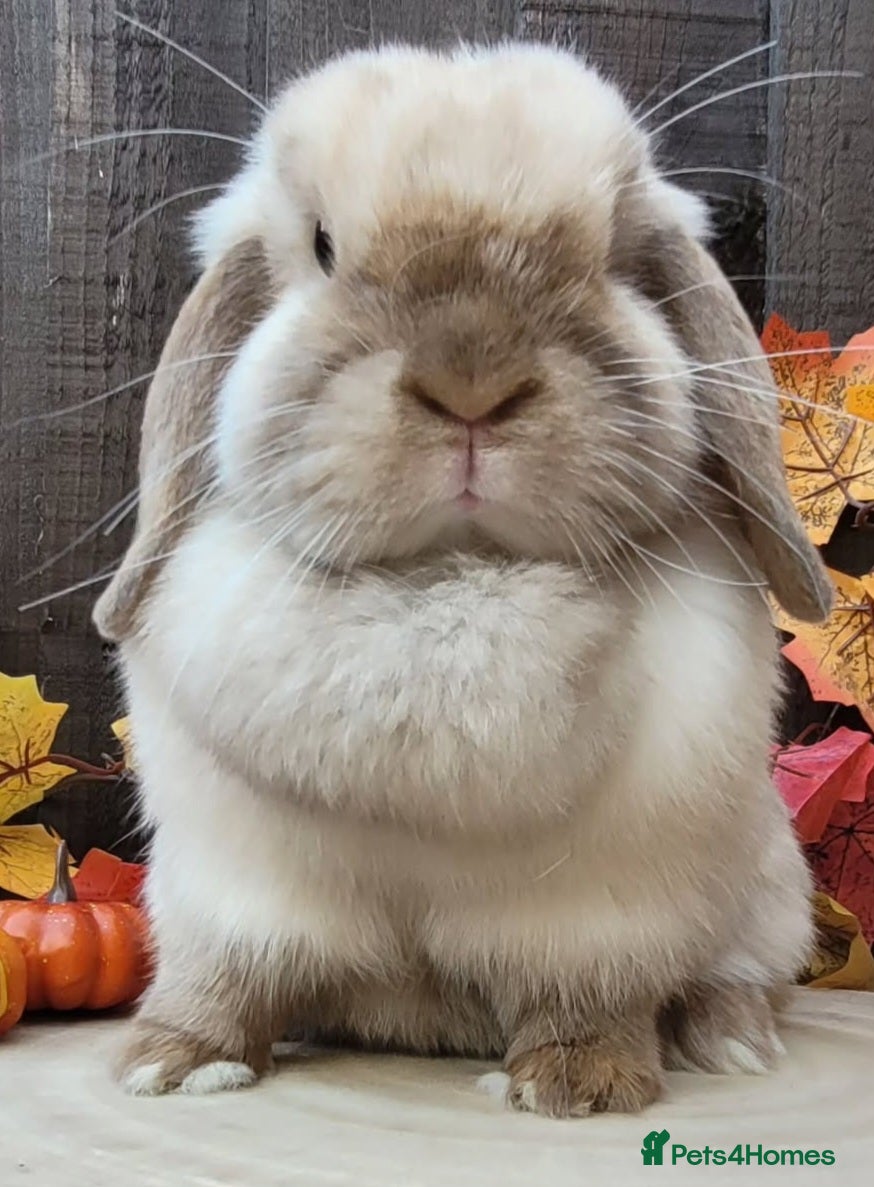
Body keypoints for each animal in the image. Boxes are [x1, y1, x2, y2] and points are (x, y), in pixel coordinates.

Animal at [94, 43, 832, 1116]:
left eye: (614, 259)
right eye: (321, 246)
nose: (472, 382)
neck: (449, 580)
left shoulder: (600, 910)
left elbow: (589, 993)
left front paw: (580, 1083)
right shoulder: (230, 888)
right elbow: (222, 975)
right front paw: (170, 1062)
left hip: (773, 894)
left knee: (738, 977)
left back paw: (727, 1037)